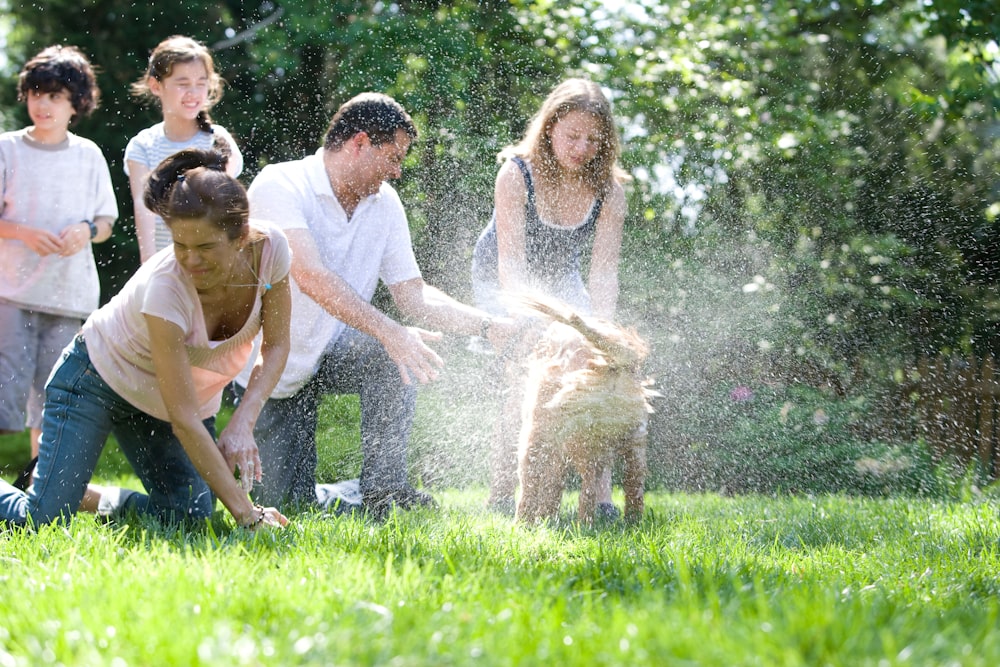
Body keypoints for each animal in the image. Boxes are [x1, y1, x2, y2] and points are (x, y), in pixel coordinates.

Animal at [512, 294, 660, 524]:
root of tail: (614, 364)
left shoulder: (540, 435)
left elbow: (537, 484)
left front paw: (530, 522)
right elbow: (553, 486)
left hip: (574, 439)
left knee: (579, 489)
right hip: (629, 443)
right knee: (631, 488)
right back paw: (627, 522)